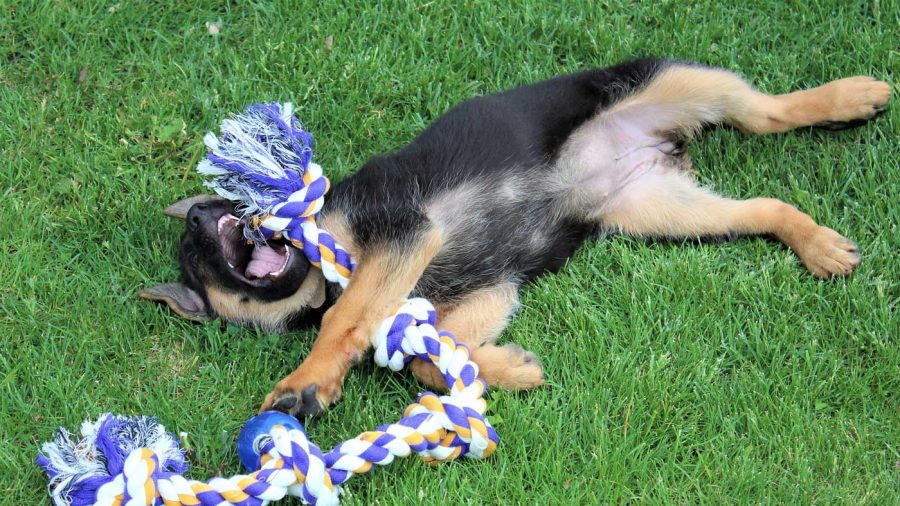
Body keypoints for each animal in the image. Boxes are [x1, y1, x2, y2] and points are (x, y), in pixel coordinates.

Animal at [144, 58, 888, 420]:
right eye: (196, 259)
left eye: (204, 228)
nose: (198, 220)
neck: (316, 265)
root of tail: (649, 148)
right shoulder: (488, 291)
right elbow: (426, 358)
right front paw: (511, 369)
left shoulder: (403, 233)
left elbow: (348, 319)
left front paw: (305, 383)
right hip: (659, 209)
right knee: (765, 203)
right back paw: (820, 244)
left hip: (670, 82)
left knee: (769, 113)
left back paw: (851, 97)